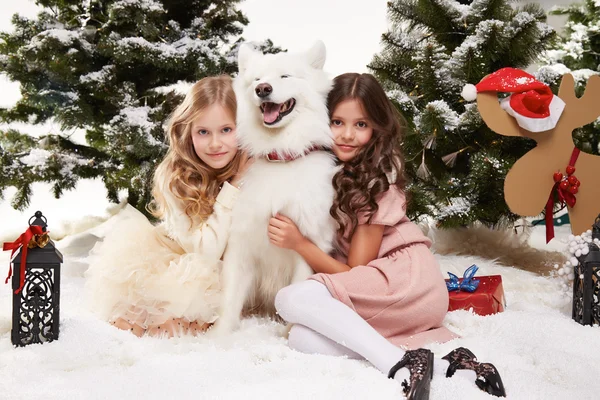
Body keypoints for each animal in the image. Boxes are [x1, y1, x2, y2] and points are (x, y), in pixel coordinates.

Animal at [212, 40, 340, 334]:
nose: (263, 89)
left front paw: (287, 335)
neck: (280, 157)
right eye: (257, 80)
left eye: (285, 76)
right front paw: (220, 336)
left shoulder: (309, 243)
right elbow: (229, 298)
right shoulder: (241, 242)